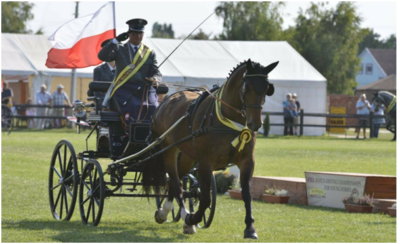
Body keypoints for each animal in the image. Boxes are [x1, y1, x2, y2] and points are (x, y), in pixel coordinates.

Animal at [146, 59, 278, 238]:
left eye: (266, 88)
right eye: (247, 87)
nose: (255, 124)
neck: (228, 122)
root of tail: (168, 99)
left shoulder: (247, 161)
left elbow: (246, 194)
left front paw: (250, 228)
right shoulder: (205, 163)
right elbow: (205, 199)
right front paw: (193, 218)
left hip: (187, 156)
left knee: (175, 181)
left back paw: (172, 214)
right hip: (168, 149)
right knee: (174, 181)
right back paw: (177, 215)